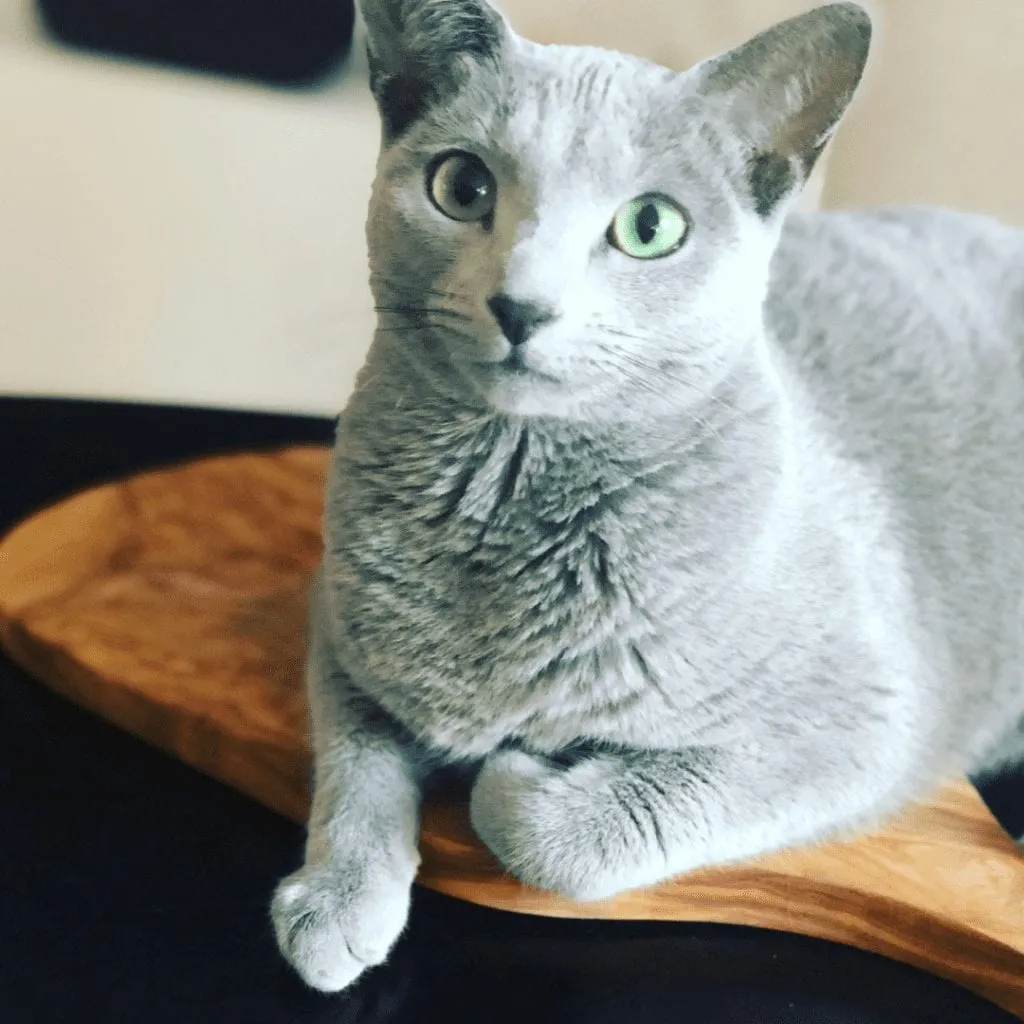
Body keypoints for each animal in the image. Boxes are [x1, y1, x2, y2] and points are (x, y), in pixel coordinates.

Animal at [270, 0, 1024, 991]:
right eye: (462, 186)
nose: (522, 305)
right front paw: (335, 899)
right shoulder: (343, 620)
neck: (509, 491)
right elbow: (356, 754)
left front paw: (513, 774)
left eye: (651, 226)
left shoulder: (863, 719)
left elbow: (567, 836)